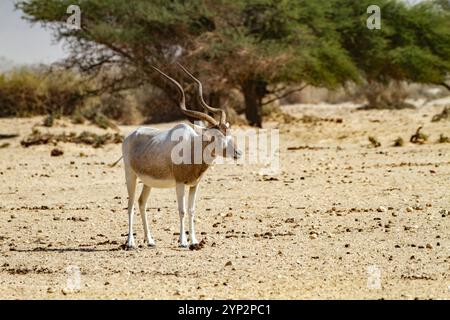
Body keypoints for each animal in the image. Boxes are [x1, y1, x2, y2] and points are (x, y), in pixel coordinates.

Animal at [118, 65, 241, 249]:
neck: (193, 148)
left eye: (229, 133)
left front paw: (194, 241)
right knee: (131, 204)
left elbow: (191, 210)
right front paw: (183, 241)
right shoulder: (179, 183)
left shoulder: (194, 185)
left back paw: (150, 241)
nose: (238, 153)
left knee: (141, 203)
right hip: (130, 176)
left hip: (147, 182)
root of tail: (131, 135)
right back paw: (130, 242)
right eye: (216, 136)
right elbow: (182, 210)